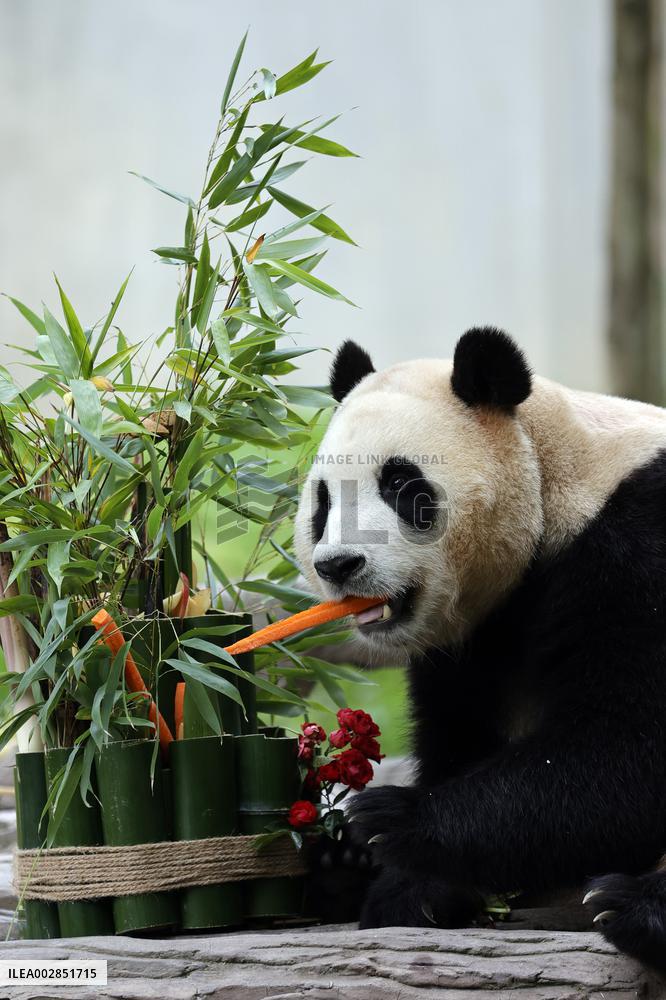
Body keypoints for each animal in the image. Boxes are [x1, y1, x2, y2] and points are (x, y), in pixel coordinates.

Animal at [294, 327, 666, 972]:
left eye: (401, 484)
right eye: (323, 500)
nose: (339, 566)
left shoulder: (640, 541)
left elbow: (631, 746)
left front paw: (393, 823)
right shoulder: (472, 632)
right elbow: (458, 729)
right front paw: (407, 884)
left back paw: (631, 908)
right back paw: (336, 864)